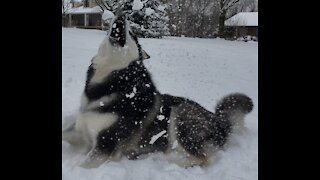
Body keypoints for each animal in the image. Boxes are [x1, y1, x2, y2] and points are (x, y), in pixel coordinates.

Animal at [62, 13, 252, 169]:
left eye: (132, 34)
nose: (122, 14)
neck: (114, 78)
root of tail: (219, 121)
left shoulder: (106, 144)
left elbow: (82, 167)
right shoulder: (79, 131)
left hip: (181, 113)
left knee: (204, 159)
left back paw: (172, 161)